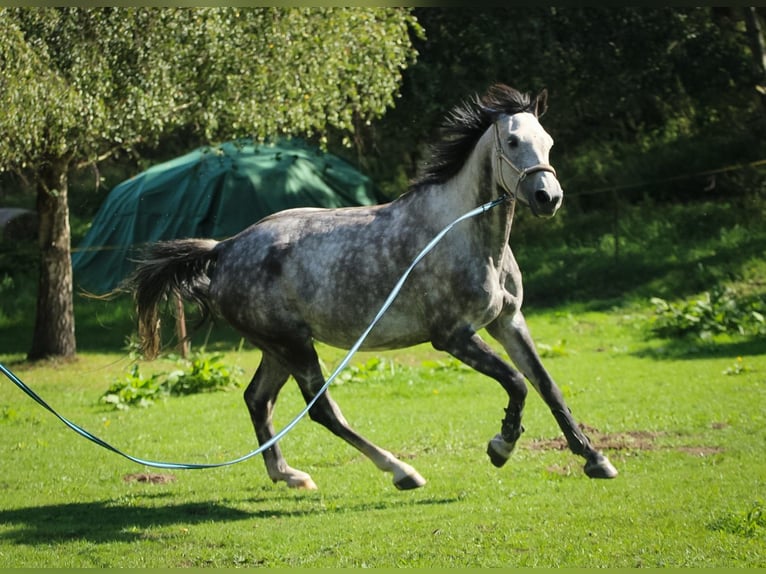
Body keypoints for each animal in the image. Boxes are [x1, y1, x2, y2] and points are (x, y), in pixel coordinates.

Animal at [127, 84, 618, 490]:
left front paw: (595, 459)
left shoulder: (508, 322)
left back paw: (289, 475)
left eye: (548, 141)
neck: (462, 234)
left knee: (258, 400)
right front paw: (501, 447)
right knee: (321, 410)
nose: (548, 197)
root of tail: (225, 248)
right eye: (513, 142)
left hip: (278, 347)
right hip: (294, 346)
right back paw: (402, 471)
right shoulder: (452, 337)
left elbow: (547, 385)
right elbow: (517, 383)